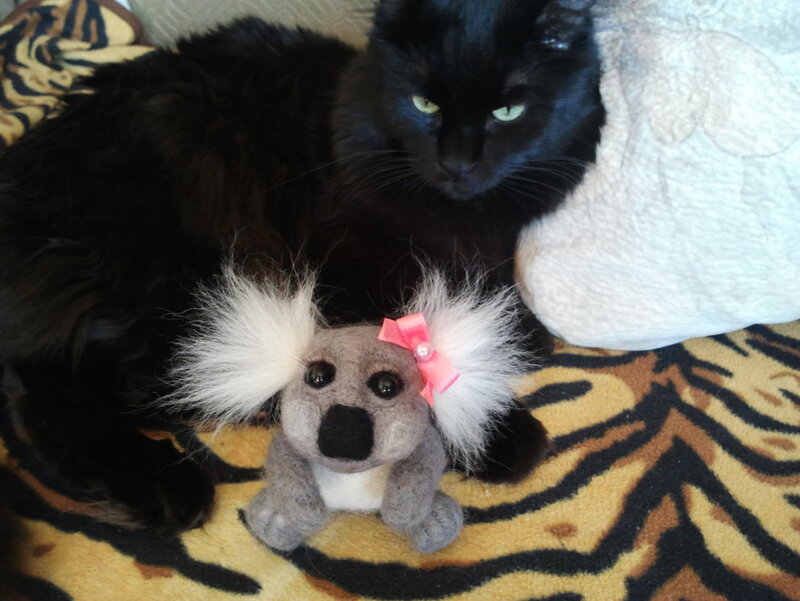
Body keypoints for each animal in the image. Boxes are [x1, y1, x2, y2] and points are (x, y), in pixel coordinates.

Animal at [0, 0, 603, 534]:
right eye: (424, 104)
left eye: (508, 111)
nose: (458, 163)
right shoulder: (345, 276)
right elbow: (411, 367)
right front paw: (499, 433)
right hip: (183, 277)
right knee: (50, 390)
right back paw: (169, 487)